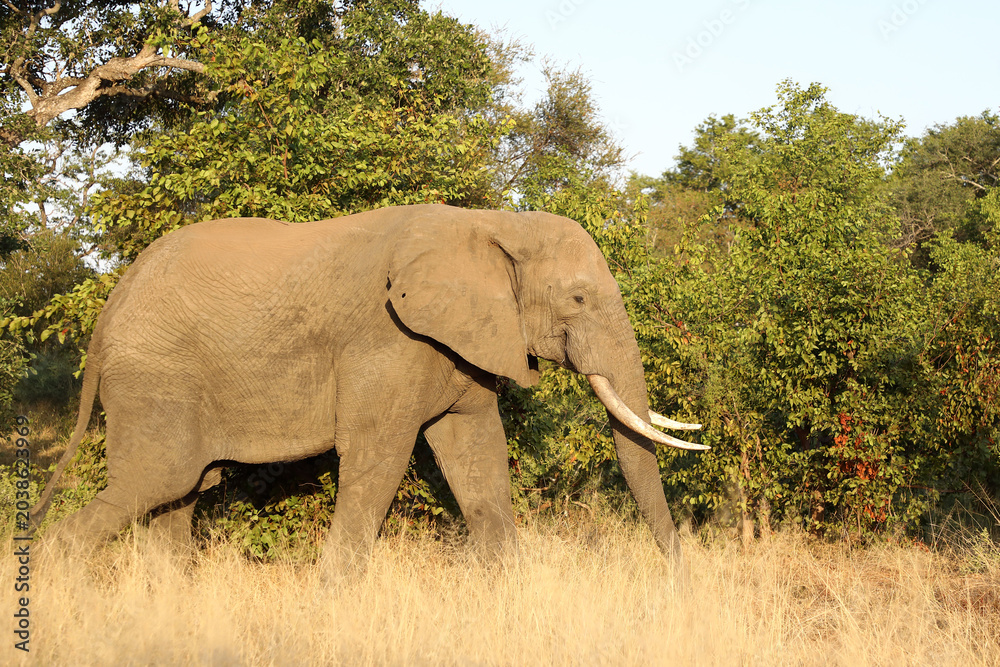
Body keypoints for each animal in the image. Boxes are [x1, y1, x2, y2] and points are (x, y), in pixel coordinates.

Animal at [30, 204, 706, 570]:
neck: (492, 223)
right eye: (579, 299)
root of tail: (104, 317)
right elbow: (378, 456)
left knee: (182, 496)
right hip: (155, 375)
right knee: (156, 481)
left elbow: (478, 453)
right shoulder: (388, 340)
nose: (679, 582)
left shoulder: (457, 344)